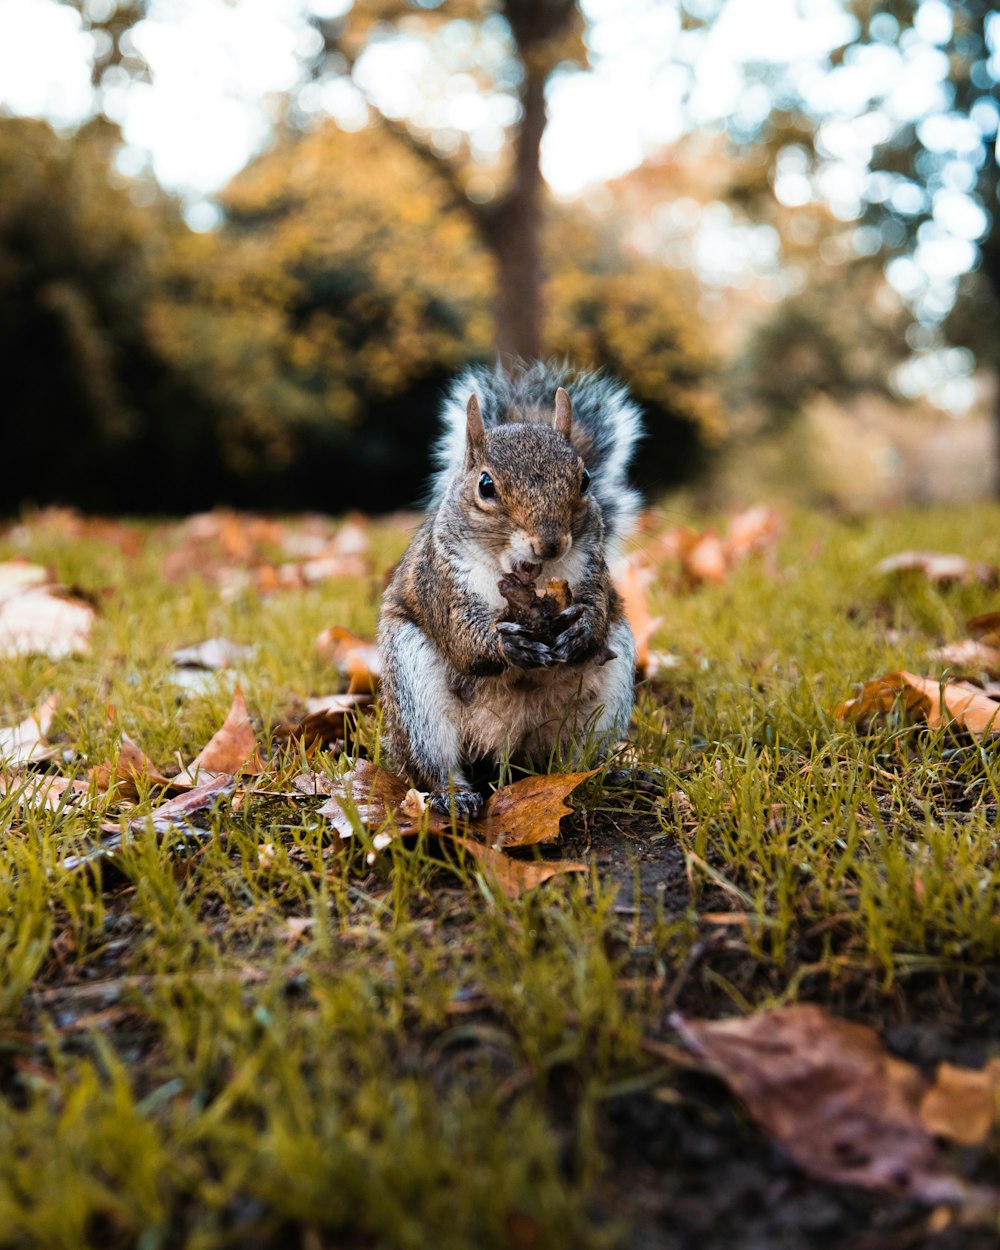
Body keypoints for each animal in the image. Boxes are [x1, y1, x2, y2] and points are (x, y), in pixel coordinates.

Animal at [375, 357, 640, 815]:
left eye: (585, 479)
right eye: (486, 486)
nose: (549, 543)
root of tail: (510, 754)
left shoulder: (594, 573)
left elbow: (598, 607)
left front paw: (581, 630)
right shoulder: (442, 583)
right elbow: (462, 637)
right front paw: (507, 645)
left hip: (608, 695)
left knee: (577, 762)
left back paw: (600, 778)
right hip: (415, 695)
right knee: (433, 764)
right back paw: (454, 795)